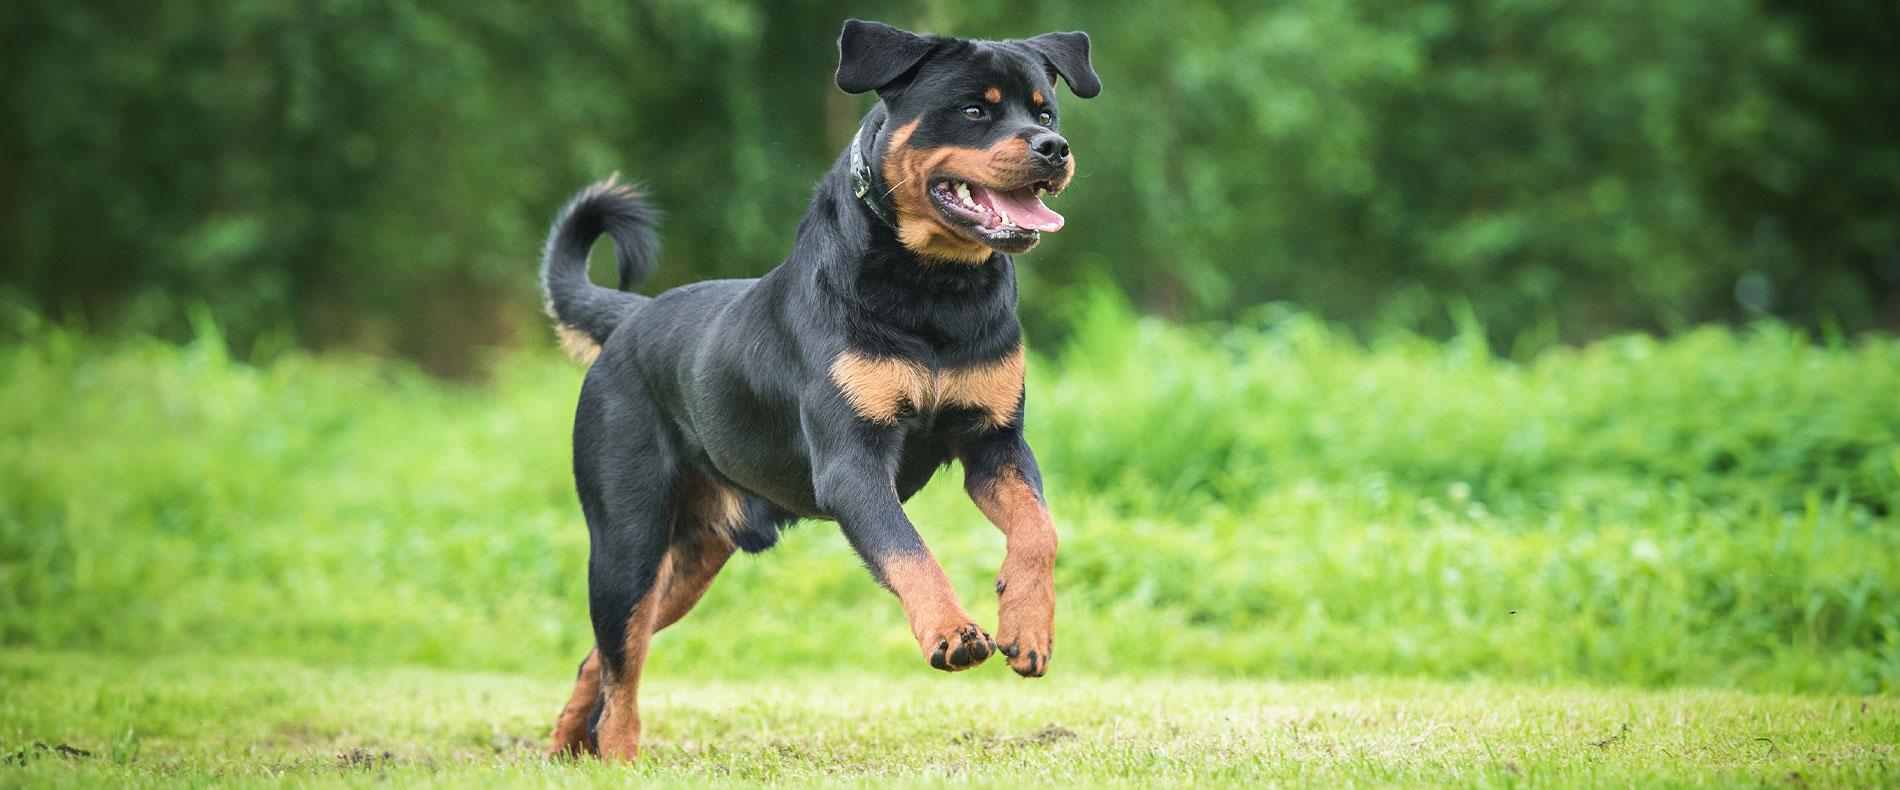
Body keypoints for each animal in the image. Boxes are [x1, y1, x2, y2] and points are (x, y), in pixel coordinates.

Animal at [535, 16, 1102, 759]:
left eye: (1045, 112)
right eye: (974, 112)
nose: (1053, 148)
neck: (934, 290)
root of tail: (631, 316)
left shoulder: (994, 444)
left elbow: (1039, 530)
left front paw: (1028, 628)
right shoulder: (851, 464)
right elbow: (907, 549)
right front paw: (951, 631)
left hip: (689, 561)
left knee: (601, 654)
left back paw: (567, 748)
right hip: (627, 539)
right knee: (623, 659)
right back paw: (620, 755)